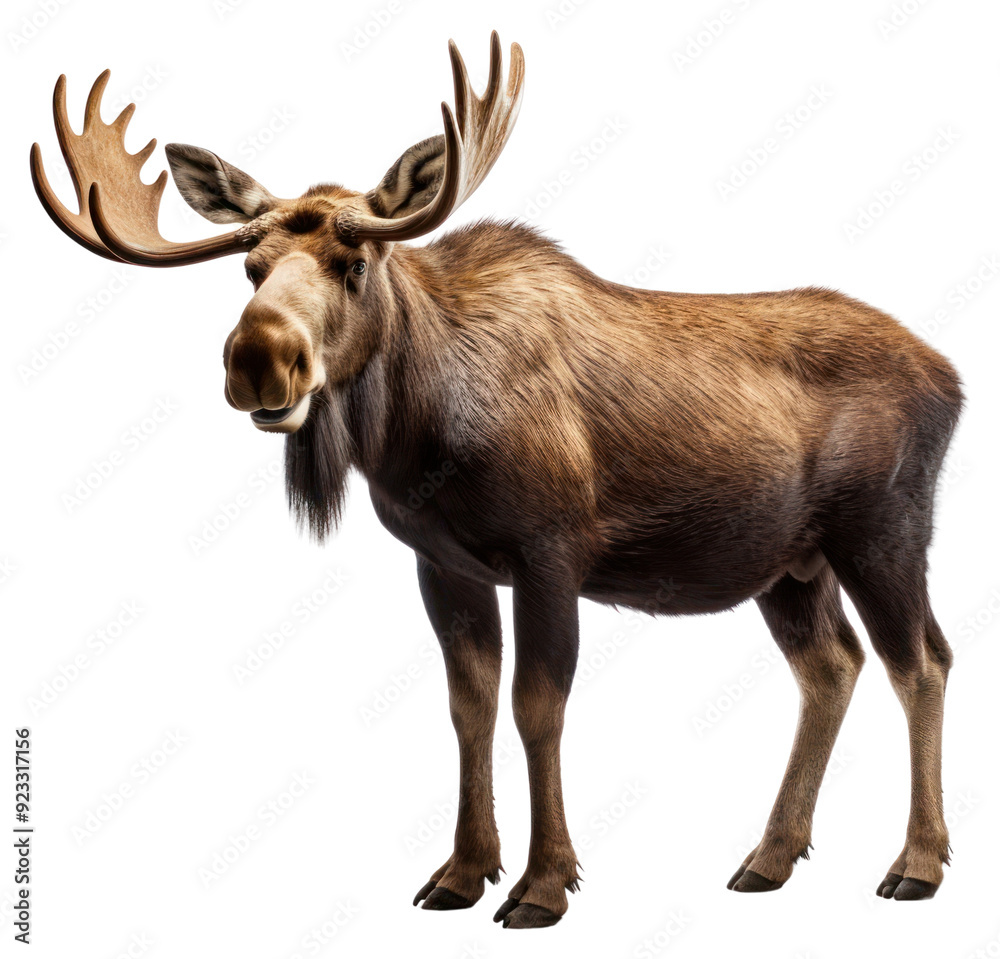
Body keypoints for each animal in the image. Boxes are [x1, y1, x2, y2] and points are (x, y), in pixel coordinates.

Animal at [31, 32, 962, 927]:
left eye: (354, 264)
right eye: (251, 267)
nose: (260, 359)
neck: (420, 435)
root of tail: (952, 379)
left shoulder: (551, 552)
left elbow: (536, 706)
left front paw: (543, 884)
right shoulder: (443, 562)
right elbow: (468, 705)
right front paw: (462, 871)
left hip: (883, 530)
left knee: (921, 660)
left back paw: (916, 864)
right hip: (790, 562)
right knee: (832, 664)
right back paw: (769, 856)